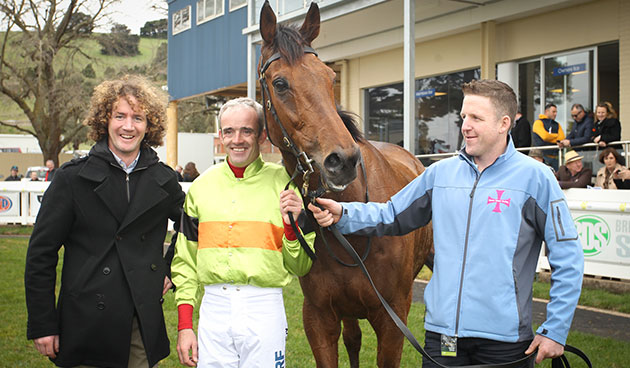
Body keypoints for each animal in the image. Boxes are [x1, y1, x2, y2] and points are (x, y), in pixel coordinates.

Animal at [260, 2, 432, 366]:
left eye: (330, 78)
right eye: (280, 83)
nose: (343, 161)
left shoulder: (393, 320)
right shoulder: (319, 316)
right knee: (353, 339)